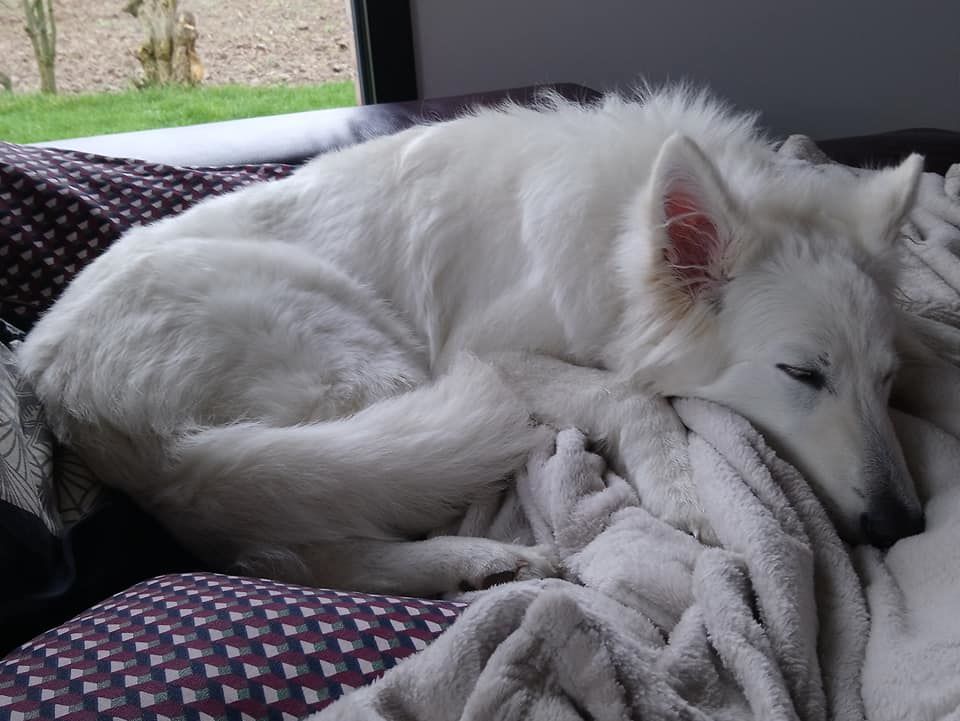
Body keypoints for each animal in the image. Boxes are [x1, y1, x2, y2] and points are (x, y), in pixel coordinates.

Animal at [17, 87, 929, 596]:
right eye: (802, 373)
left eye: (888, 380)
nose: (905, 524)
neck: (616, 231)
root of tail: (51, 374)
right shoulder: (486, 352)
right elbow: (626, 390)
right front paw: (679, 485)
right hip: (365, 361)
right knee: (297, 550)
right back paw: (469, 555)